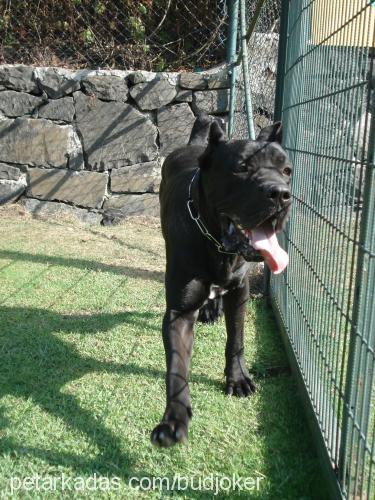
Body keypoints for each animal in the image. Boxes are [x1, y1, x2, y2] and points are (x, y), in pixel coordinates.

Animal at [151, 115, 292, 448]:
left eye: (287, 170)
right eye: (241, 167)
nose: (281, 194)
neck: (215, 242)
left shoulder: (240, 291)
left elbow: (236, 340)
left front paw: (237, 379)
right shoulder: (178, 312)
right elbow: (177, 367)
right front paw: (173, 419)